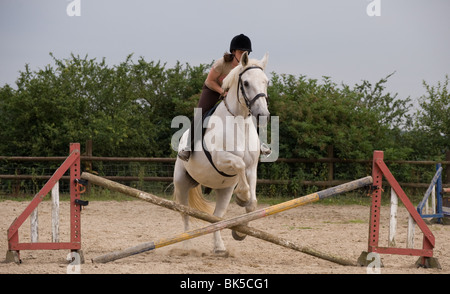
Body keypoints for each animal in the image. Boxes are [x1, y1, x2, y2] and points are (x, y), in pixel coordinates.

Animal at [174, 51, 268, 254]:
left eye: (266, 81)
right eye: (246, 83)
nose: (263, 115)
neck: (239, 121)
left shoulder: (252, 168)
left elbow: (253, 204)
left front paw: (240, 232)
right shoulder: (220, 159)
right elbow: (239, 164)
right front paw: (241, 197)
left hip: (224, 190)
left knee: (217, 217)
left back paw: (219, 247)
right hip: (181, 182)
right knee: (185, 213)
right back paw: (186, 245)